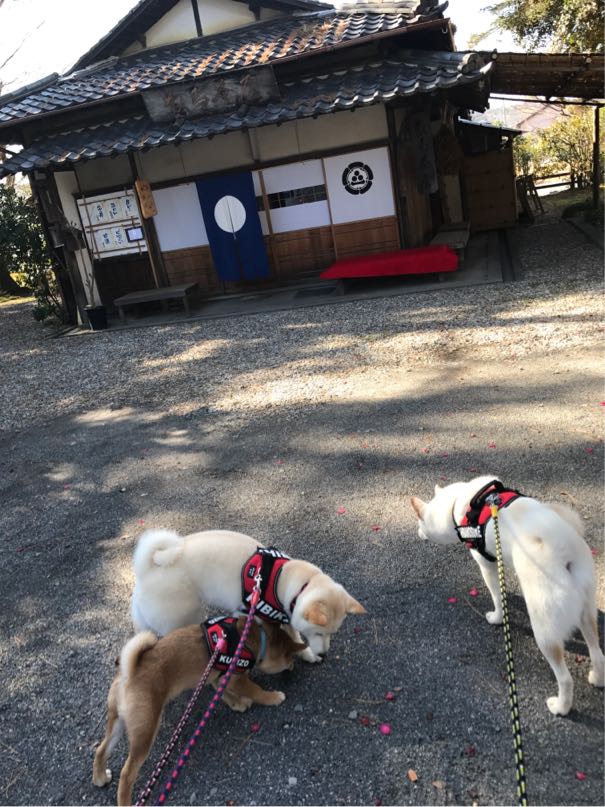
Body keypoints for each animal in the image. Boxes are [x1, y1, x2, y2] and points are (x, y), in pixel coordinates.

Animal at [93, 616, 305, 806]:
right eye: (290, 657)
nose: (293, 665)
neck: (255, 637)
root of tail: (129, 673)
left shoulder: (219, 677)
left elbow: (223, 693)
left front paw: (237, 704)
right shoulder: (237, 679)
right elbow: (256, 691)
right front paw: (273, 697)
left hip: (118, 723)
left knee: (101, 750)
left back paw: (100, 777)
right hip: (145, 730)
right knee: (127, 773)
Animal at [131, 529, 366, 661]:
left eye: (332, 633)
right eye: (318, 633)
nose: (324, 655)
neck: (282, 578)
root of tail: (148, 568)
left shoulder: (286, 614)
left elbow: (294, 635)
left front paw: (306, 654)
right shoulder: (248, 611)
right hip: (183, 617)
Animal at [411, 475, 604, 716]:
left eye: (420, 523)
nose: (418, 533)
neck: (457, 503)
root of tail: (564, 551)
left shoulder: (486, 564)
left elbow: (496, 595)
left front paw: (496, 617)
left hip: (545, 630)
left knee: (565, 678)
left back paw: (561, 707)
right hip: (587, 610)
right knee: (597, 652)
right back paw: (597, 678)